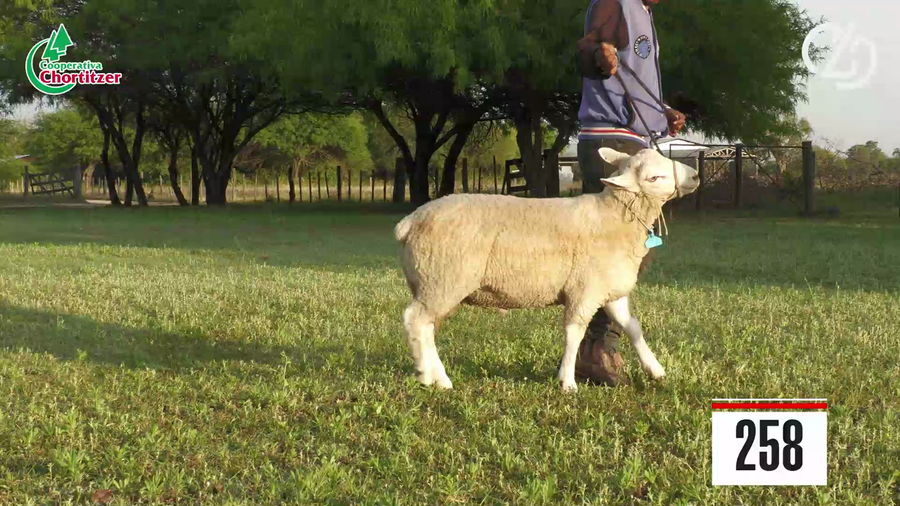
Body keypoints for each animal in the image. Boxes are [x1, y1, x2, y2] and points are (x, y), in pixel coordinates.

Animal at [394, 147, 700, 391]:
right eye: (654, 178)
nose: (695, 176)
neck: (614, 217)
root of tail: (410, 221)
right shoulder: (583, 290)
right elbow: (574, 333)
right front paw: (567, 382)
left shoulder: (609, 291)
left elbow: (632, 327)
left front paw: (655, 370)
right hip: (442, 279)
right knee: (414, 320)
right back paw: (427, 376)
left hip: (436, 283)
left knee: (426, 327)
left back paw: (438, 378)